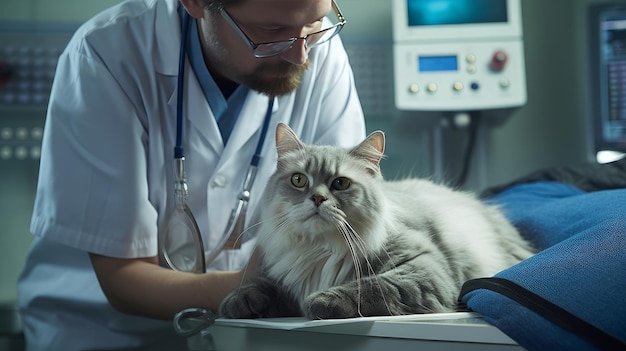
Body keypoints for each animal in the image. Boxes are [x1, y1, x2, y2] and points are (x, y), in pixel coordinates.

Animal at [218, 124, 532, 322]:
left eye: (340, 184)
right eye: (298, 180)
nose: (317, 199)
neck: (320, 250)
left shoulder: (422, 267)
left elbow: (369, 287)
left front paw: (319, 302)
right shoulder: (286, 277)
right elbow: (259, 286)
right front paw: (236, 303)